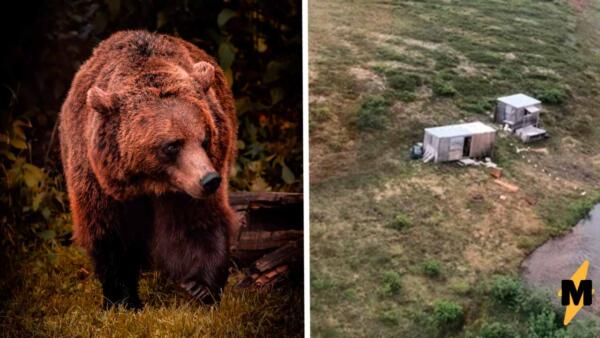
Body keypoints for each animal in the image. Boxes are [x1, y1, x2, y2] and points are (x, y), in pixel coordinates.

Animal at [58, 29, 237, 308]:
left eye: (205, 138)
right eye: (172, 145)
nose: (209, 180)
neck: (149, 183)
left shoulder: (187, 187)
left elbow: (198, 223)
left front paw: (200, 287)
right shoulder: (97, 180)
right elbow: (109, 235)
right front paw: (122, 299)